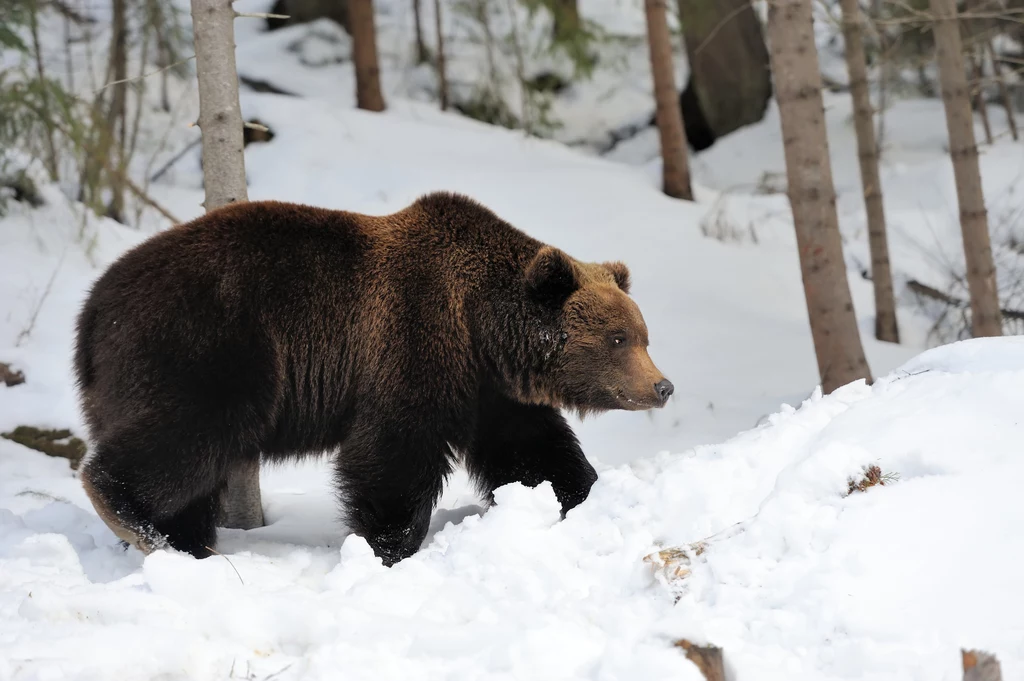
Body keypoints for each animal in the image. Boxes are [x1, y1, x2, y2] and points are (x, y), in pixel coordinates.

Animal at [75, 191, 675, 561]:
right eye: (619, 338)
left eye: (643, 335)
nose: (662, 386)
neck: (480, 326)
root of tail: (92, 309)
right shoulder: (412, 339)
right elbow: (394, 451)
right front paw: (389, 544)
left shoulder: (491, 391)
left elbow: (533, 451)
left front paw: (578, 494)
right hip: (207, 345)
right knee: (189, 435)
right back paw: (133, 516)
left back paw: (183, 543)